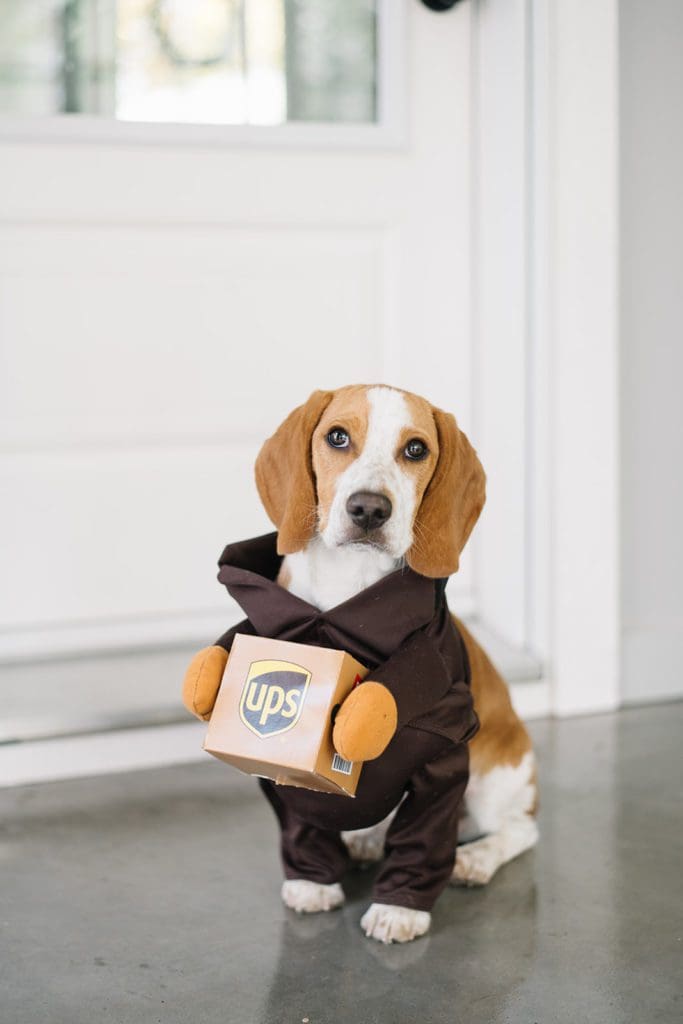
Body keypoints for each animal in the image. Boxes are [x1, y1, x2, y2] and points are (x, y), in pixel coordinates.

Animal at [184, 385, 536, 942]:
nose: (370, 509)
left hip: (494, 775)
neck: (348, 592)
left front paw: (400, 910)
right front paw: (312, 883)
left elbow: (424, 841)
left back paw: (475, 858)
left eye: (415, 449)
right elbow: (303, 827)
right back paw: (369, 837)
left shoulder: (442, 760)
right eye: (337, 437)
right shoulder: (281, 771)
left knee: (519, 828)